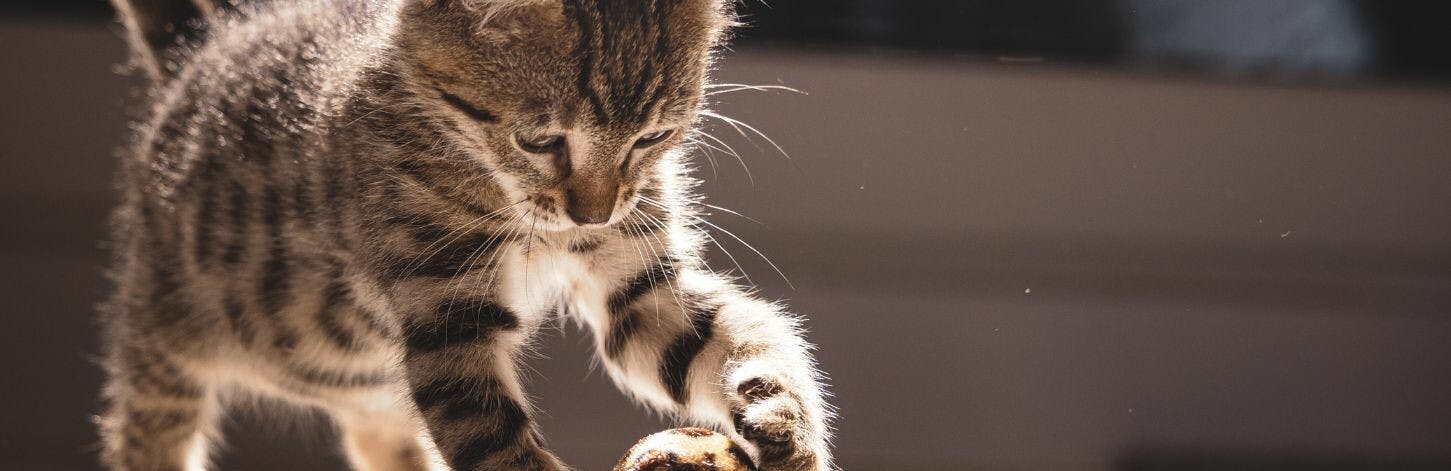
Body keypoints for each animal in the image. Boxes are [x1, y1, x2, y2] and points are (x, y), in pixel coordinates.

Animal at [102, 0, 835, 469]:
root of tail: (202, 49)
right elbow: (493, 441)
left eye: (651, 138)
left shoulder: (640, 285)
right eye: (541, 141)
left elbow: (736, 334)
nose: (593, 215)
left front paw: (785, 423)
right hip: (159, 350)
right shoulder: (443, 312)